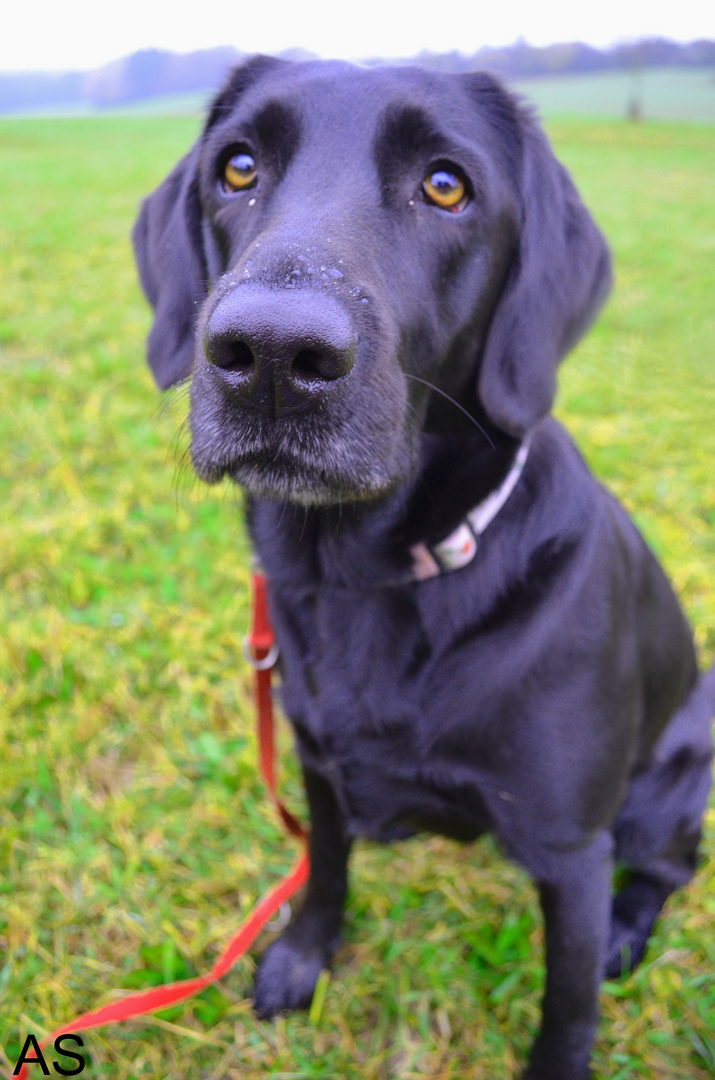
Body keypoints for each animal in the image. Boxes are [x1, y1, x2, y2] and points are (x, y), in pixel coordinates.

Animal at [131, 56, 712, 1080]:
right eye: (236, 167)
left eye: (446, 186)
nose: (271, 354)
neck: (368, 581)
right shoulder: (316, 762)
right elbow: (324, 866)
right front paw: (303, 957)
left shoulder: (570, 849)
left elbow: (566, 1005)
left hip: (664, 788)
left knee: (667, 869)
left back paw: (624, 932)